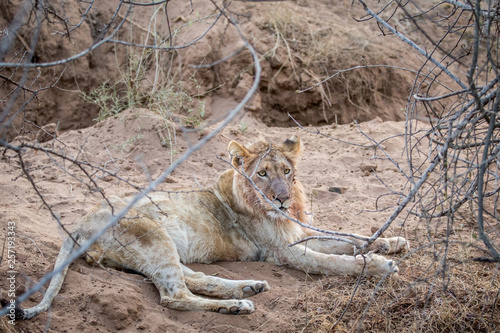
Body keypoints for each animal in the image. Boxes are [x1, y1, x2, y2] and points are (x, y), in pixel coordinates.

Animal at [21, 135, 408, 316]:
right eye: (261, 174)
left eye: (286, 171)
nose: (281, 200)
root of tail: (79, 223)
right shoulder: (283, 252)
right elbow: (334, 261)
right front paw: (380, 266)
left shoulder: (298, 233)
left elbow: (348, 237)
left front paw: (392, 242)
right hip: (152, 235)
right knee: (175, 296)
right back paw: (237, 305)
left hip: (158, 247)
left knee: (192, 278)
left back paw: (248, 288)